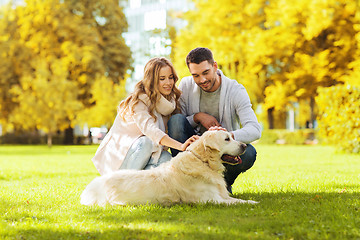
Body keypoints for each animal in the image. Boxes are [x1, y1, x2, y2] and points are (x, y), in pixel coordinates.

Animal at [80, 130, 258, 205]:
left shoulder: (221, 195)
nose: (244, 145)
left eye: (232, 137)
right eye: (227, 139)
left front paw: (252, 201)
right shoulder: (211, 200)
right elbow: (236, 203)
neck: (203, 161)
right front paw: (253, 204)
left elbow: (238, 200)